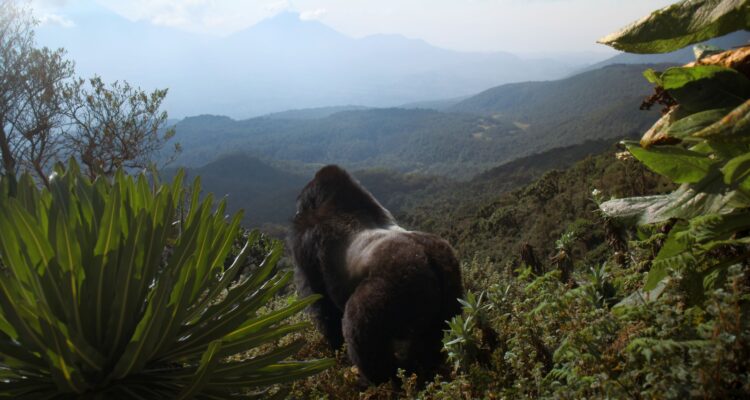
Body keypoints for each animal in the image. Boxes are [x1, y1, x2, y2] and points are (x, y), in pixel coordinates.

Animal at [289, 165, 463, 384]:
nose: (295, 214)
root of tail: (429, 256)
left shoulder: (305, 239)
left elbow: (323, 306)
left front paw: (335, 351)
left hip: (397, 283)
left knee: (357, 323)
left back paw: (376, 381)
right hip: (451, 280)